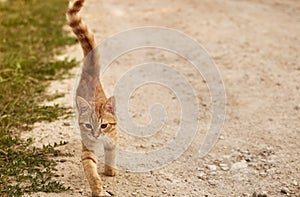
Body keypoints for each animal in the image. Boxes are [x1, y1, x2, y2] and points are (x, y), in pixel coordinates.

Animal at [67, 0, 118, 196]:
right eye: (89, 125)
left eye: (104, 125)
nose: (96, 135)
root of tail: (91, 73)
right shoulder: (88, 148)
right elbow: (90, 167)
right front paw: (96, 186)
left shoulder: (112, 140)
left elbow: (111, 155)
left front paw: (110, 170)